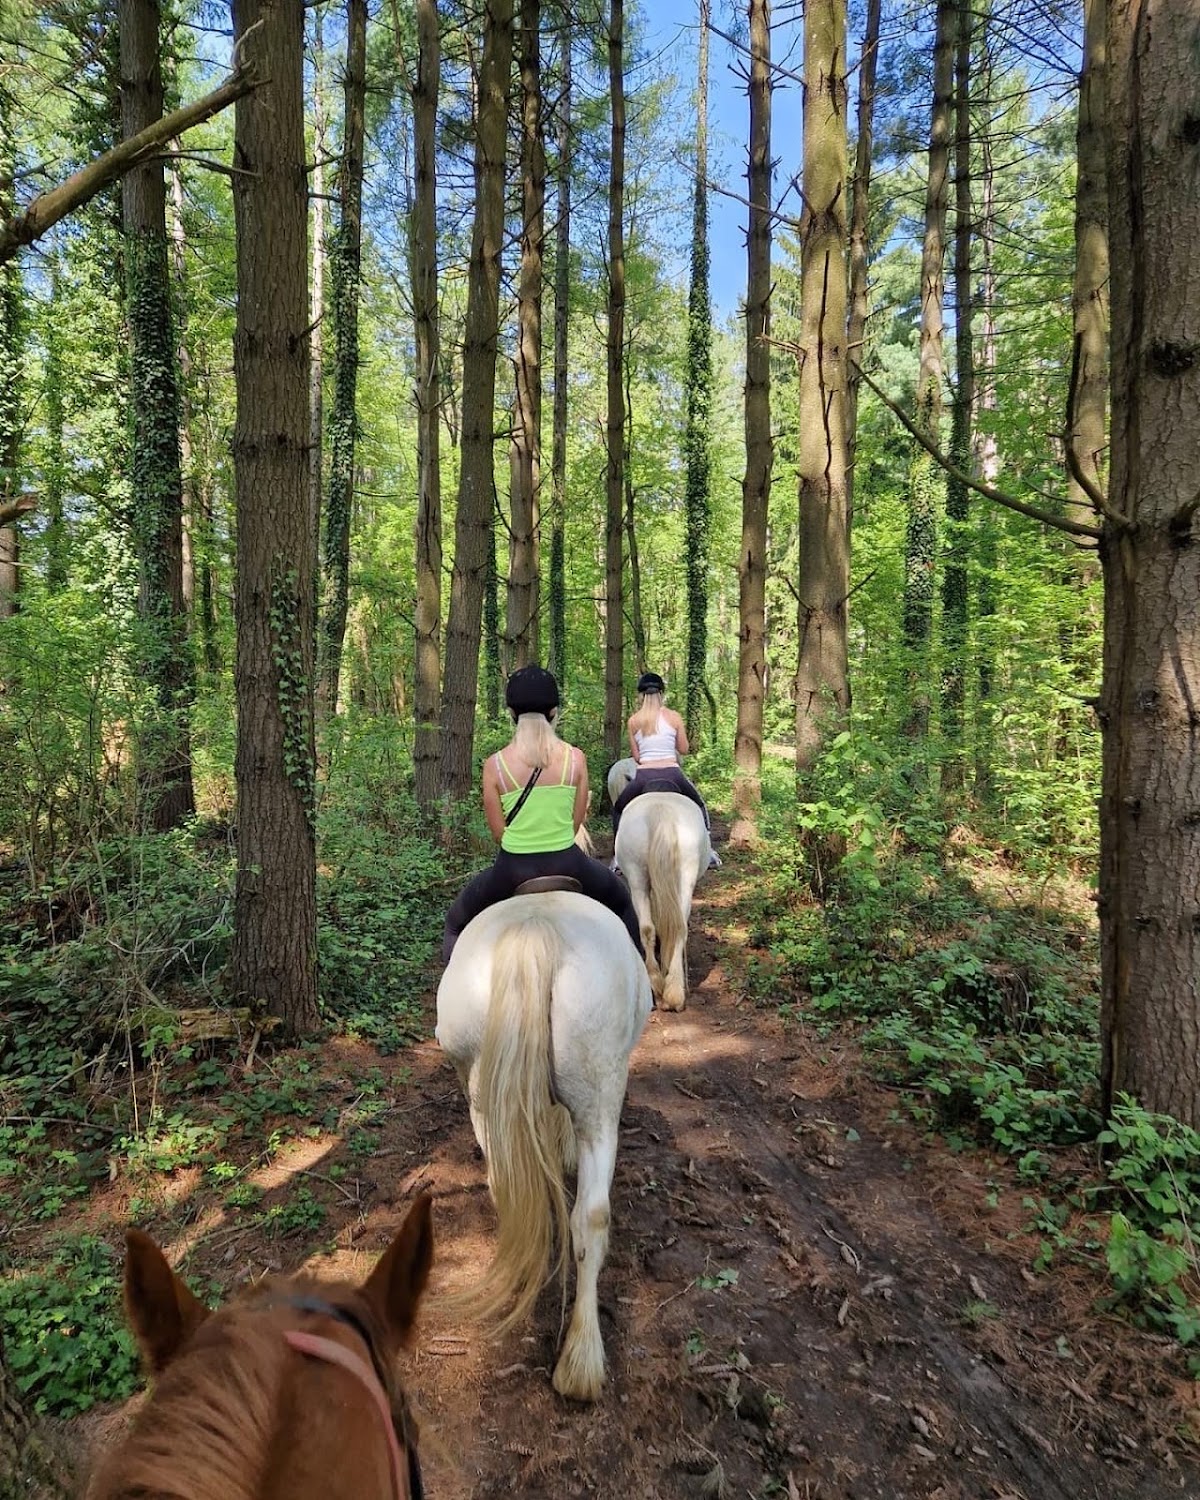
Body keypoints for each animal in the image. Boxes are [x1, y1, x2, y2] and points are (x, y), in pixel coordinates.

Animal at [435, 891, 652, 1401]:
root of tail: (536, 929)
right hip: (600, 1099)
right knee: (591, 1216)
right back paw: (581, 1361)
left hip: (484, 1096)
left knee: (507, 1188)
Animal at [614, 791, 710, 1012]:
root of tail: (661, 809)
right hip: (685, 877)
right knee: (679, 927)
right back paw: (674, 992)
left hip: (638, 877)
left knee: (649, 928)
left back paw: (658, 986)